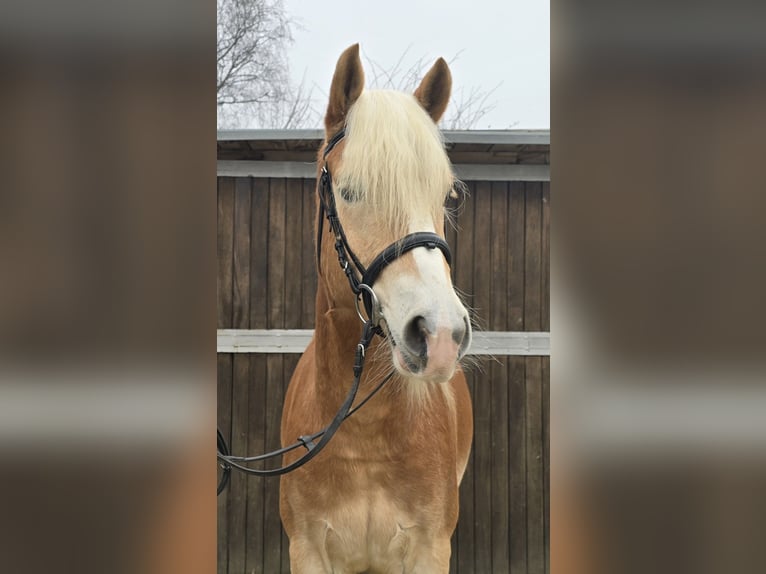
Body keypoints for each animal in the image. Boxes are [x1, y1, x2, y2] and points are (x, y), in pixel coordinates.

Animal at [282, 45, 474, 574]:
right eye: (349, 192)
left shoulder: (429, 550)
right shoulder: (308, 551)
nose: (440, 336)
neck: (364, 438)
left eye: (446, 196)